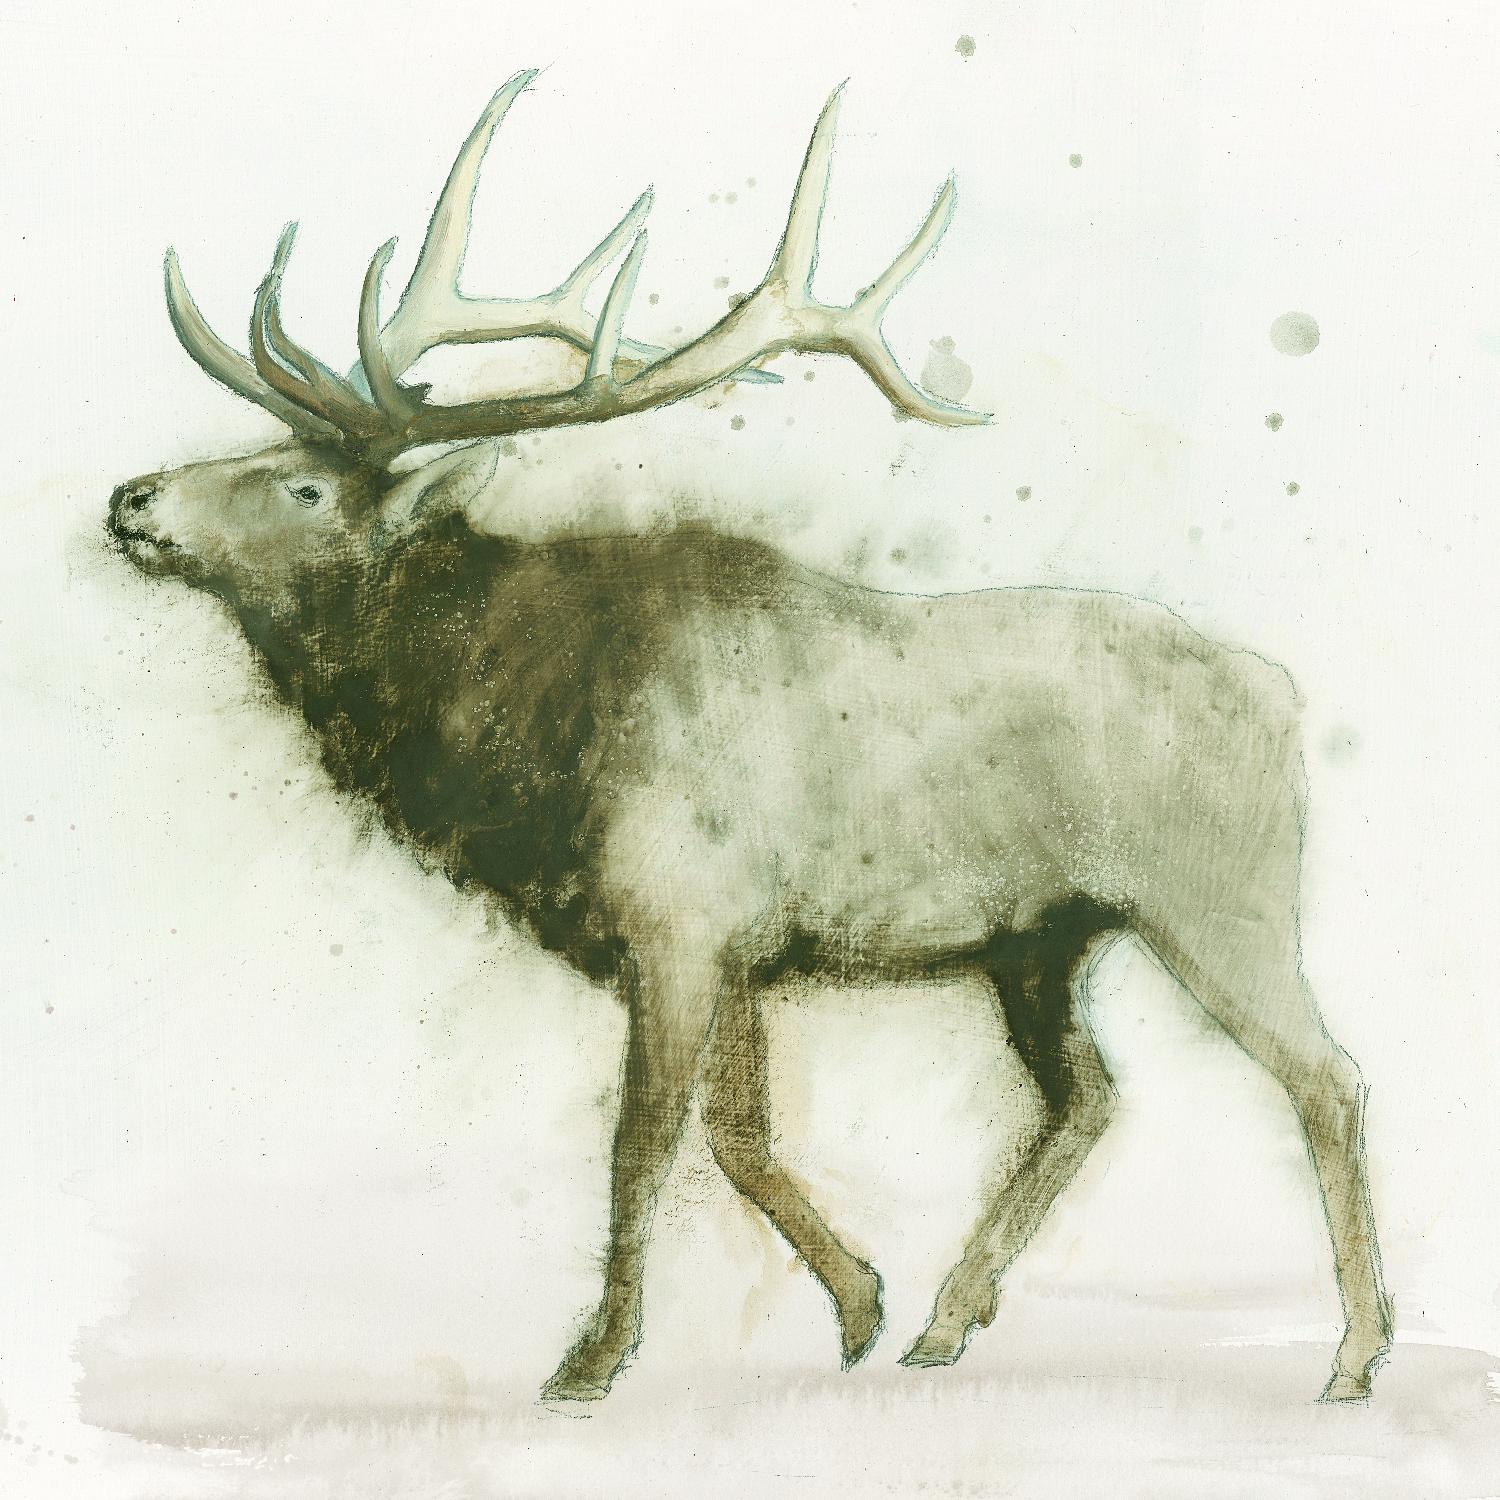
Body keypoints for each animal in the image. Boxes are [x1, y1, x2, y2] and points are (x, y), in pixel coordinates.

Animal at [106, 69, 1392, 1404]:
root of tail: (1282, 696)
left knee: (1328, 1077)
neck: (522, 744)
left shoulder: (678, 918)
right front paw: (860, 1303)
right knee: (1089, 1096)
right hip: (1040, 940)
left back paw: (1355, 1354)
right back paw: (950, 1317)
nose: (130, 499)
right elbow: (737, 1134)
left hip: (1218, 896)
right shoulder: (739, 949)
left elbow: (643, 1145)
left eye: (304, 487)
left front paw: (592, 1360)